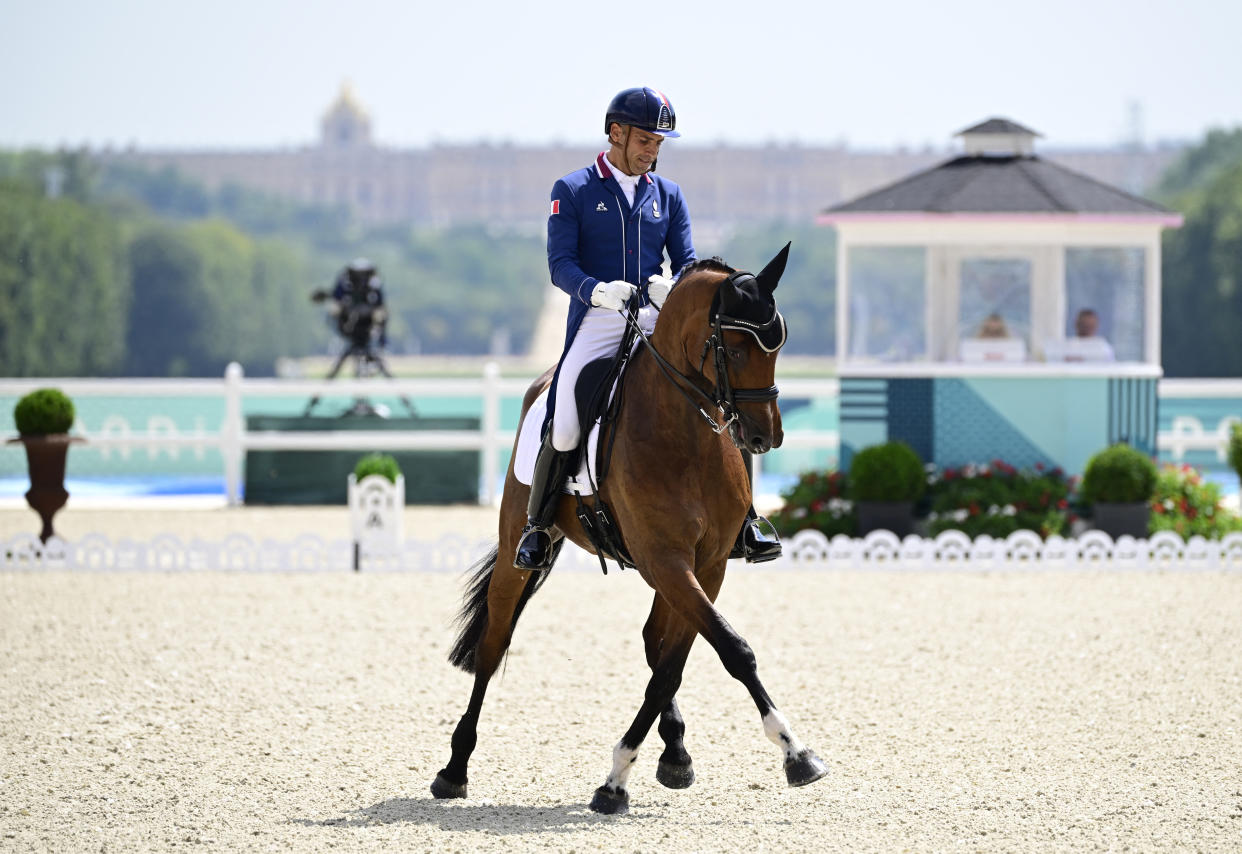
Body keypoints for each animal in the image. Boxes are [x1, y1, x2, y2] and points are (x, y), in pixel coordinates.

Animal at [432, 242, 829, 814]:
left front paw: (635, 769)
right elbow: (731, 649)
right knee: (493, 645)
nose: (765, 437)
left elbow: (675, 665)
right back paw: (454, 768)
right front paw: (794, 753)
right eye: (732, 351)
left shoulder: (705, 565)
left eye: (778, 345)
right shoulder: (668, 560)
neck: (684, 437)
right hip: (519, 553)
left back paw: (676, 752)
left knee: (652, 641)